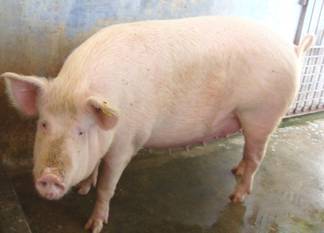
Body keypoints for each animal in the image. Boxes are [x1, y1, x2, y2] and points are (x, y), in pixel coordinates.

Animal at [0, 16, 314, 233]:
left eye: (81, 130)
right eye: (43, 124)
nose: (49, 177)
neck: (79, 85)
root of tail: (292, 48)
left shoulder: (126, 143)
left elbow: (107, 186)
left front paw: (94, 225)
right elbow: (95, 166)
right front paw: (83, 189)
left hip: (261, 114)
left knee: (257, 156)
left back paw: (236, 196)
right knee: (248, 155)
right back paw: (234, 171)